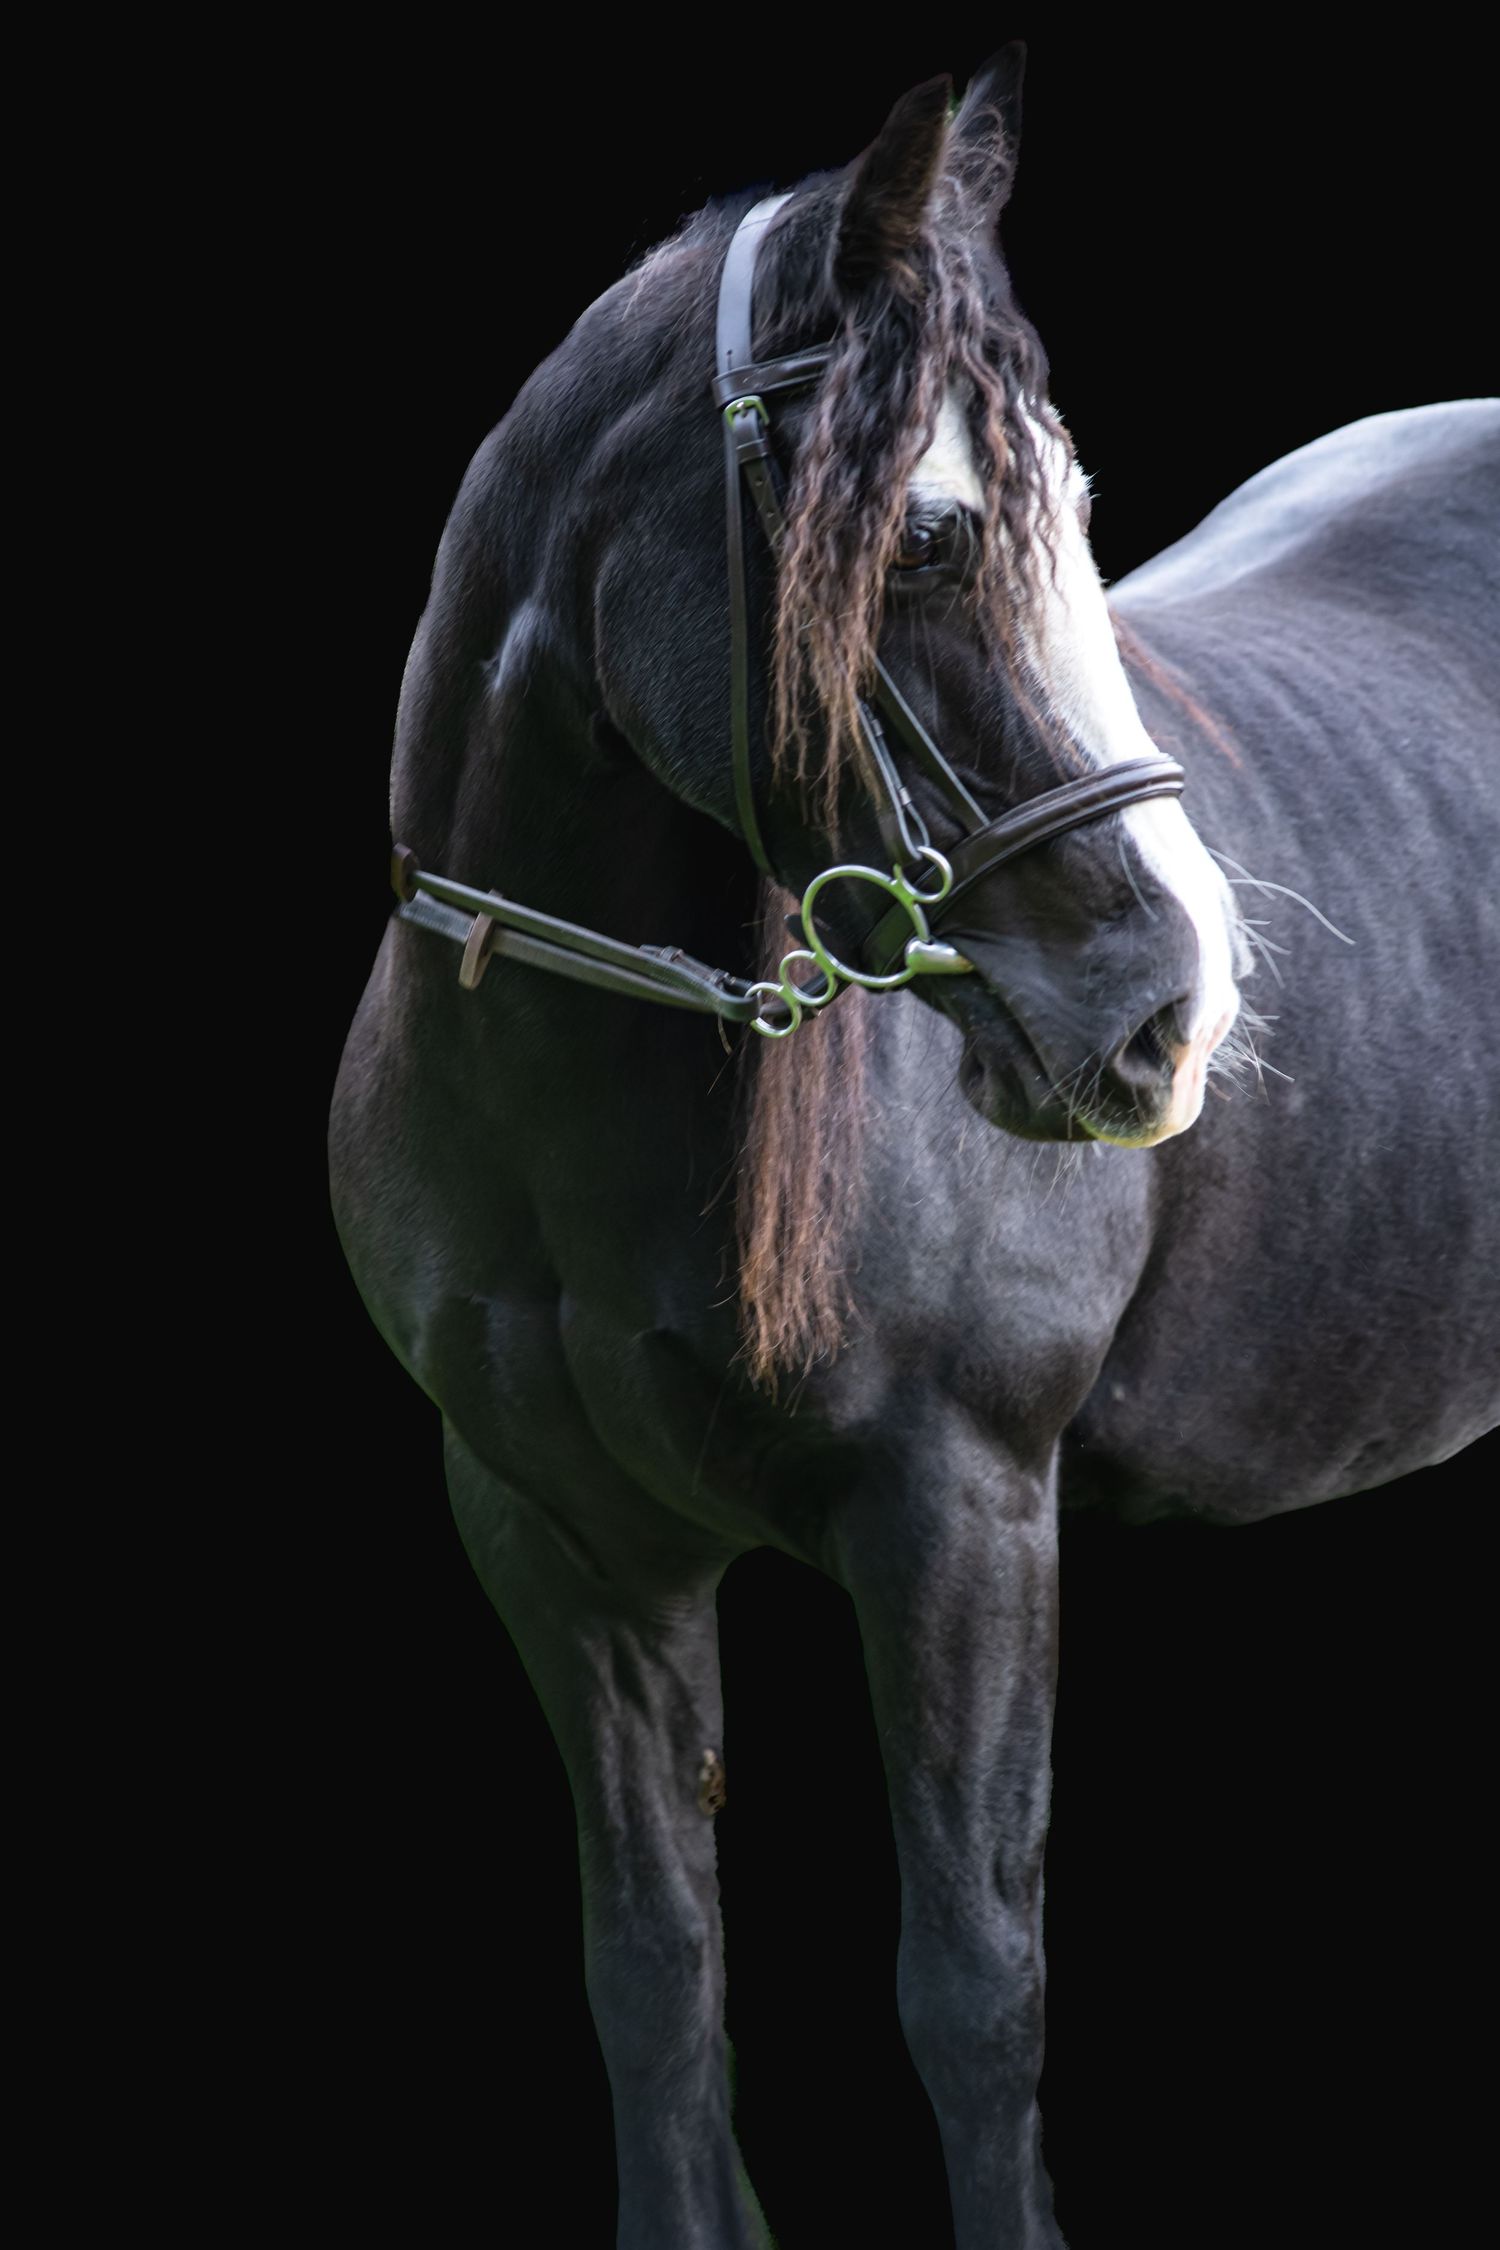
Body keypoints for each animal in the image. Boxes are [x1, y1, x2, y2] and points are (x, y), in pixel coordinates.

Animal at [328, 48, 1499, 2248]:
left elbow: (972, 1986)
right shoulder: (553, 1535)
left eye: (1077, 519)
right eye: (937, 540)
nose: (1170, 1013)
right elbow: (655, 1976)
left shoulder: (961, 1510)